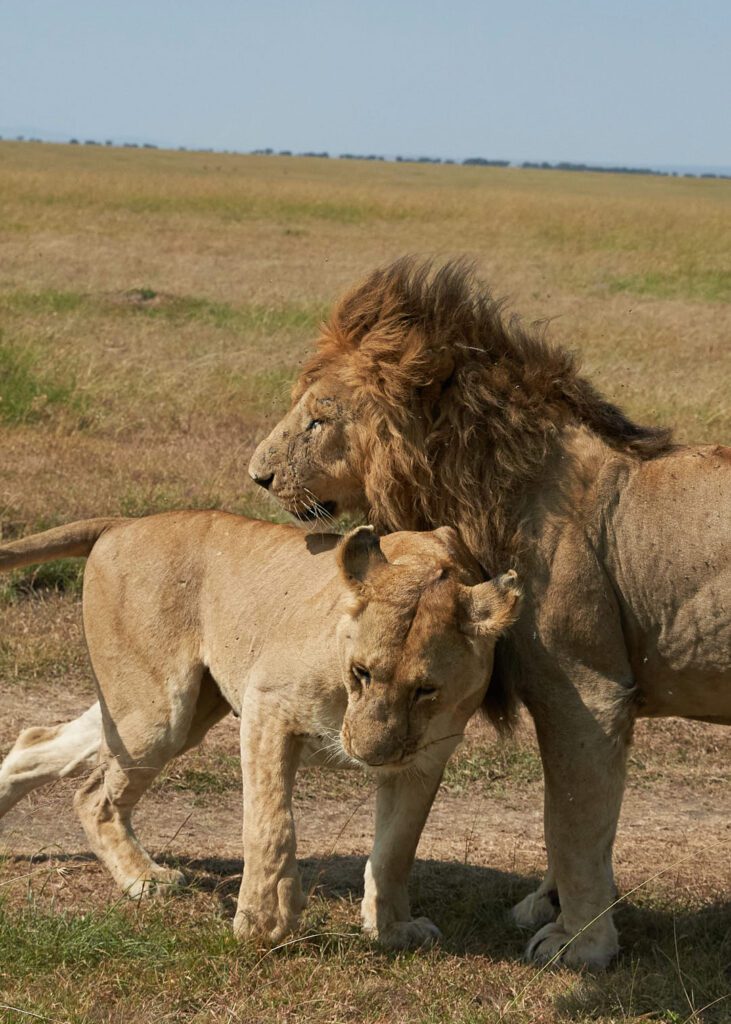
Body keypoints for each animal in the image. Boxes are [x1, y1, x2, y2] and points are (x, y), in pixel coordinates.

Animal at [0, 511, 520, 947]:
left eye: (425, 690)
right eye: (361, 672)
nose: (368, 755)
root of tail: (123, 522)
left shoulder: (424, 757)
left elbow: (396, 848)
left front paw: (393, 930)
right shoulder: (267, 706)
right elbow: (270, 824)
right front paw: (265, 922)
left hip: (163, 709)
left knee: (38, 743)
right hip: (160, 712)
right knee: (94, 796)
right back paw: (145, 879)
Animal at [248, 257, 731, 967]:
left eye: (318, 419)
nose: (256, 475)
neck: (488, 490)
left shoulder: (586, 689)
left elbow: (574, 822)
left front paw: (579, 945)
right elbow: (575, 816)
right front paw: (550, 906)